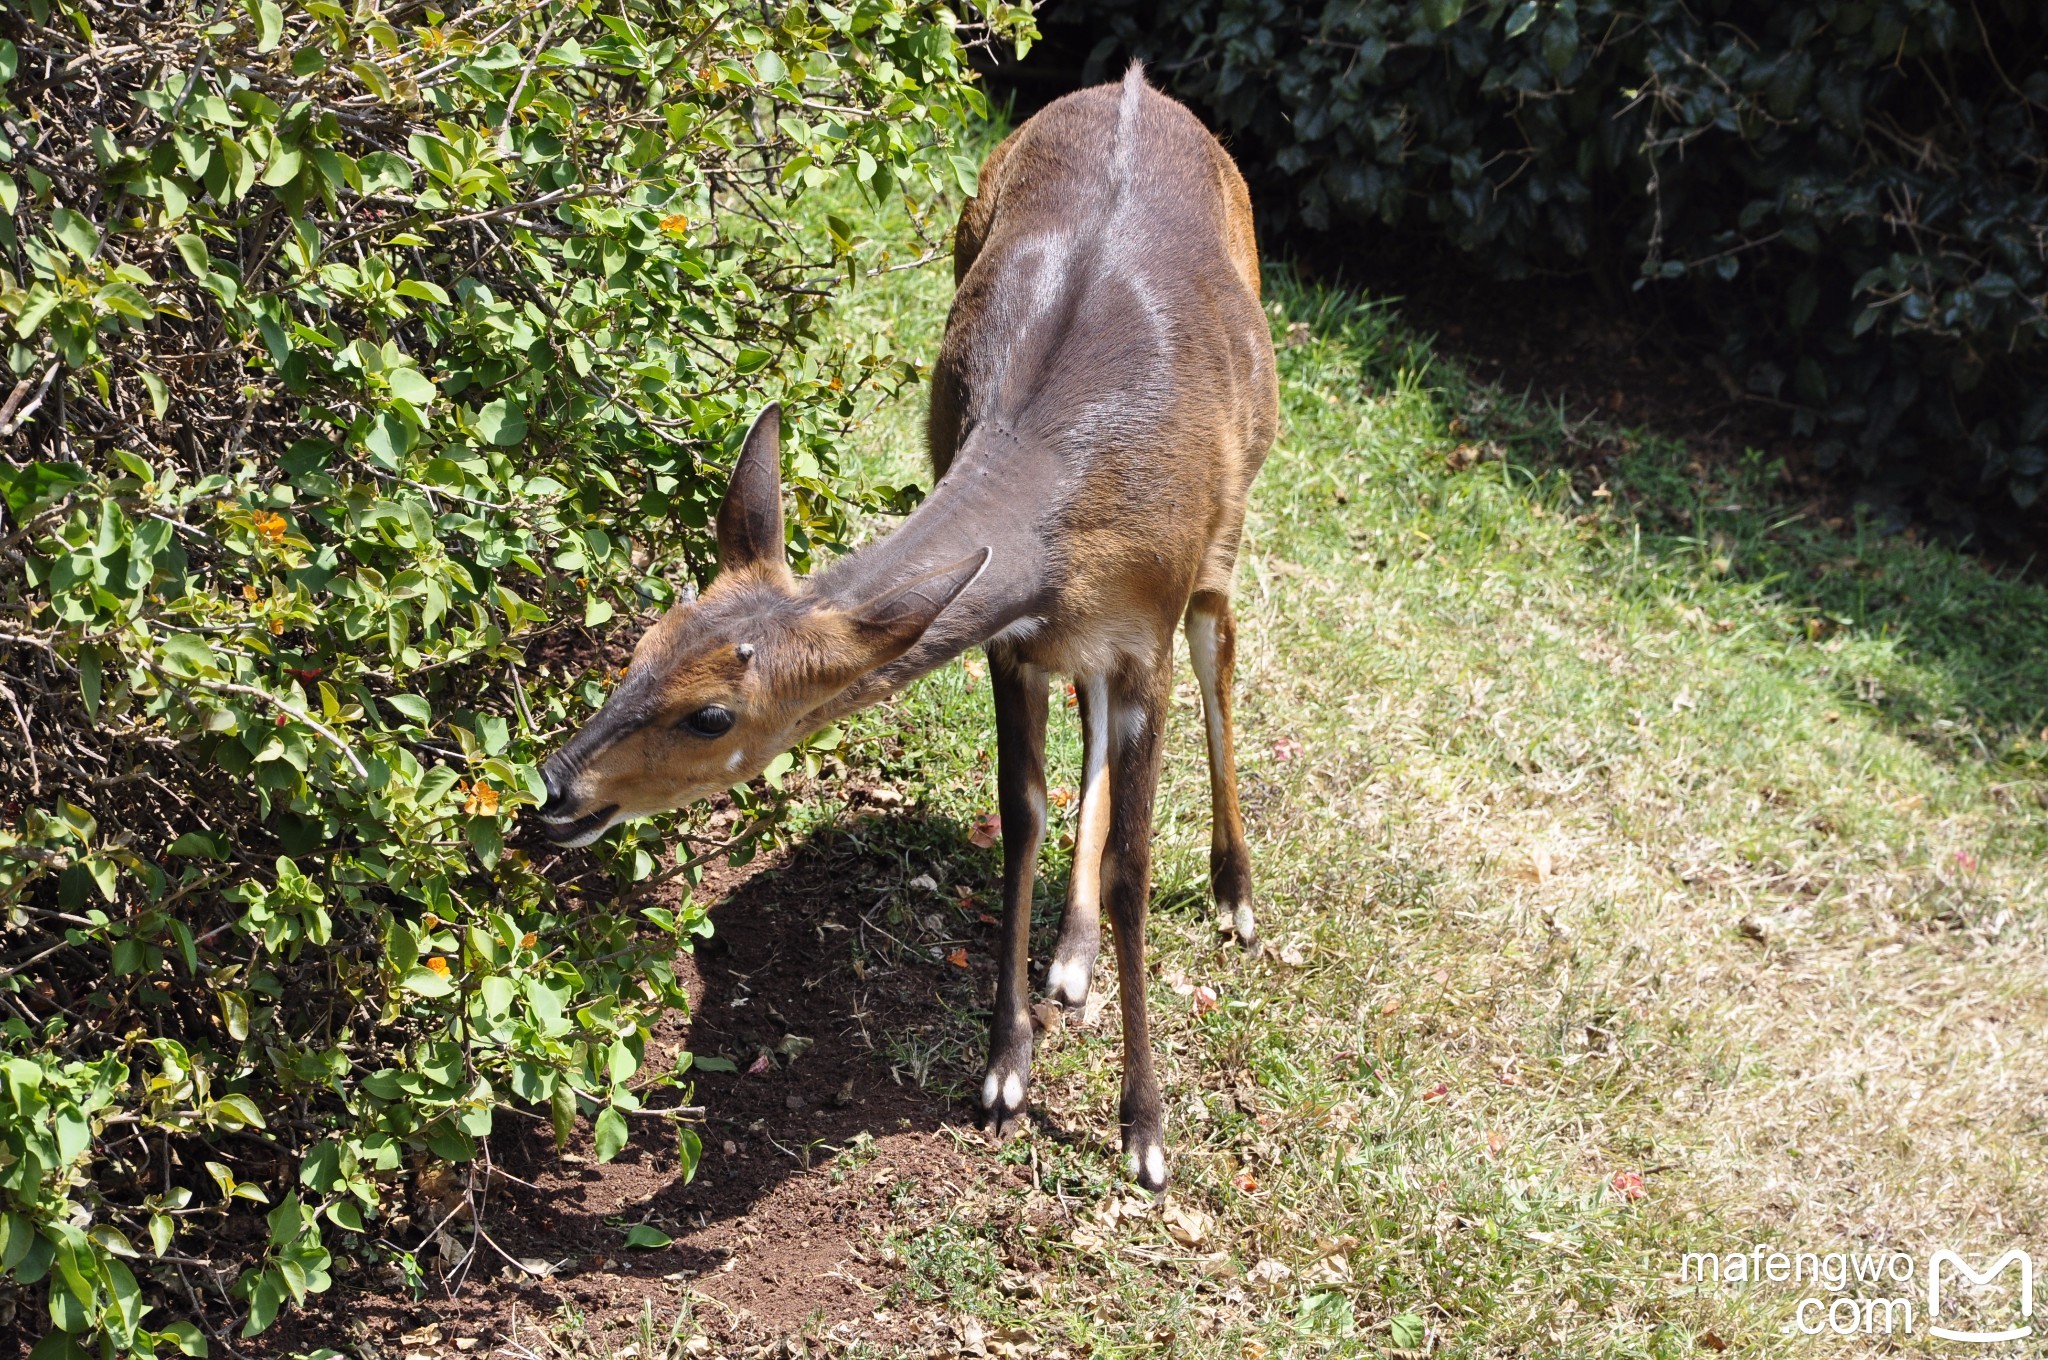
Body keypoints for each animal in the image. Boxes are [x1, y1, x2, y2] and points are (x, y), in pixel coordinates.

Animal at [544, 66, 1277, 1187]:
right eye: (640, 645)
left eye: (713, 716)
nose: (556, 788)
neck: (1060, 489)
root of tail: (1137, 83)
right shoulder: (1016, 641)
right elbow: (1020, 811)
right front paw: (1005, 1067)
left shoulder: (1145, 629)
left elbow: (1135, 868)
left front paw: (1145, 1131)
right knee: (1093, 710)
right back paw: (1068, 959)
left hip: (1227, 526)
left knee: (1221, 654)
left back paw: (1235, 896)